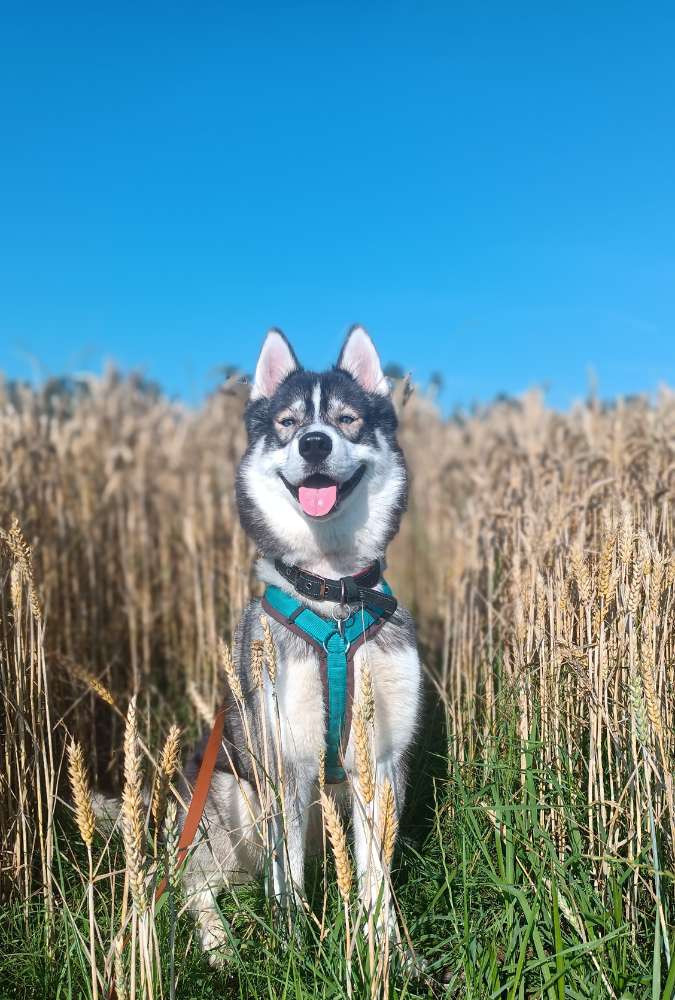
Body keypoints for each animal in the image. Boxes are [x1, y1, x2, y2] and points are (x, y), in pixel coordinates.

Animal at [182, 328, 420, 960]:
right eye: (288, 423)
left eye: (346, 419)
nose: (314, 443)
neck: (332, 594)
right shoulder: (284, 756)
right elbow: (285, 874)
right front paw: (292, 948)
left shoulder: (380, 759)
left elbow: (375, 873)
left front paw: (386, 949)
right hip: (227, 798)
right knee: (193, 885)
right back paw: (220, 945)